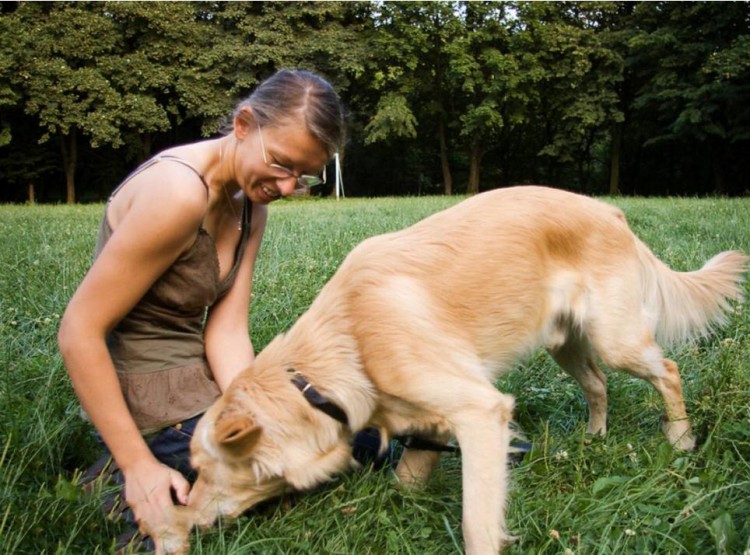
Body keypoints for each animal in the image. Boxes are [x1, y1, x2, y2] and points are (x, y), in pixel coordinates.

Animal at [151, 188, 748, 555]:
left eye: (200, 468)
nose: (181, 522)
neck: (343, 347)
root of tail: (612, 212)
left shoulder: (481, 413)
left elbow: (477, 521)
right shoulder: (426, 423)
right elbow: (408, 480)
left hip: (616, 338)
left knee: (667, 369)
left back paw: (681, 440)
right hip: (566, 344)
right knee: (599, 385)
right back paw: (595, 439)